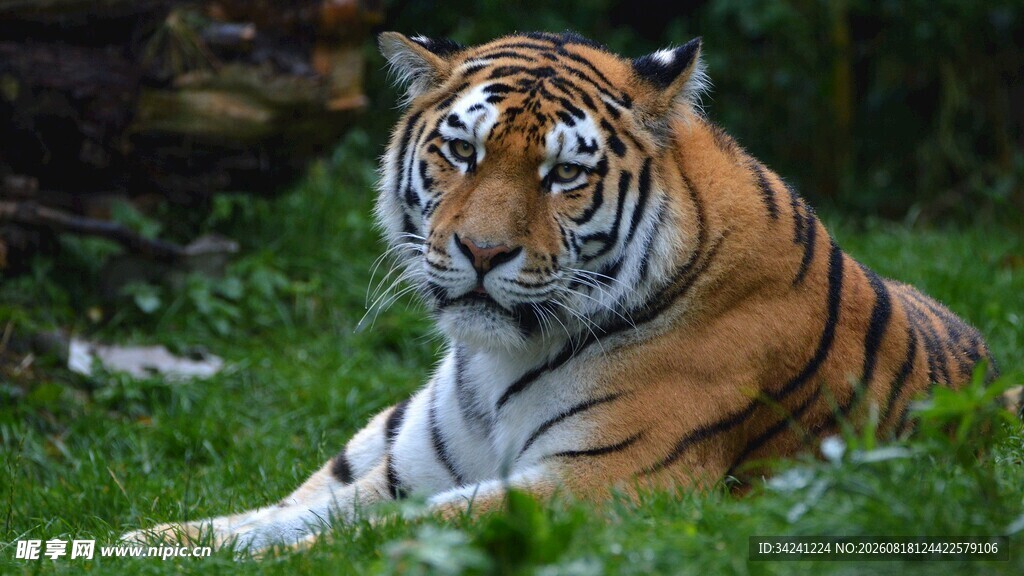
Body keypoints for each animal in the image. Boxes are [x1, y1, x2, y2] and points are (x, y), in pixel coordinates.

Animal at [122, 31, 1008, 552]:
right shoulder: (411, 473)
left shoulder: (598, 484)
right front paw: (143, 545)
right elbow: (283, 519)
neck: (495, 361)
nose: (482, 252)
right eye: (463, 152)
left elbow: (368, 538)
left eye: (563, 175)